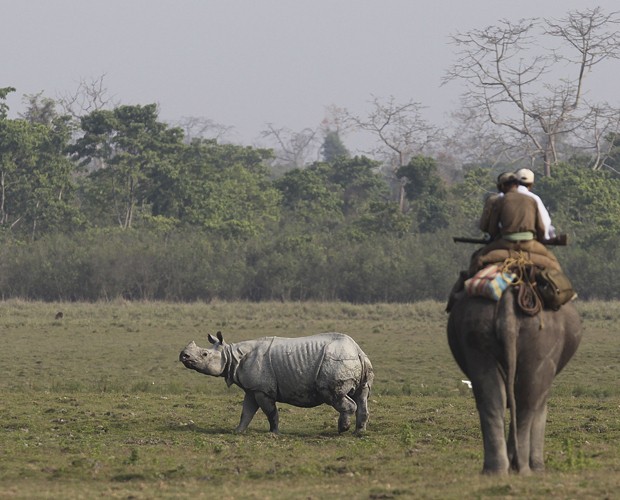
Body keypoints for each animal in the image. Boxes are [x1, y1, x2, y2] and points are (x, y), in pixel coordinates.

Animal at [446, 288, 580, 474]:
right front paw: (538, 468)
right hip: (542, 343)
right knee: (527, 402)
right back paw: (522, 468)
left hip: (477, 335)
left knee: (492, 399)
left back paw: (496, 469)